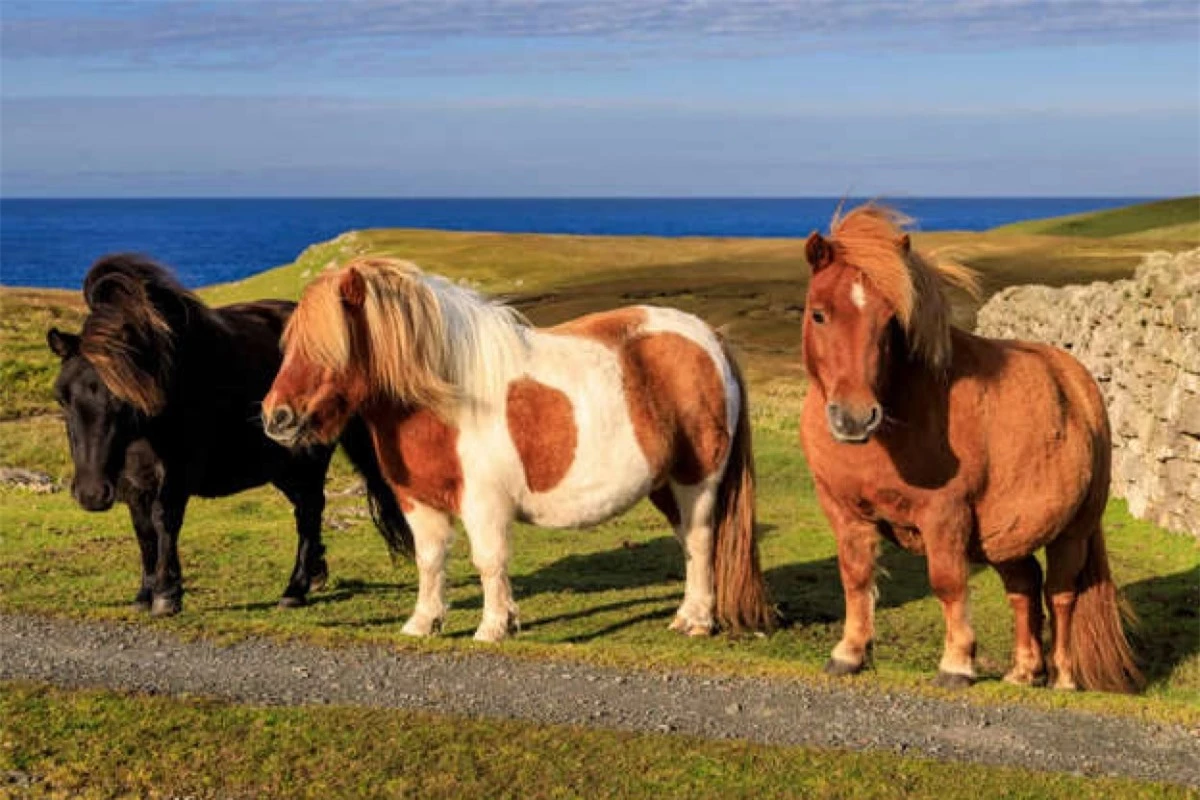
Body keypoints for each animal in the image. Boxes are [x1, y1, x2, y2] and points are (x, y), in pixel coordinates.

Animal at [48, 253, 412, 618]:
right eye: (61, 398)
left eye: (122, 401)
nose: (91, 494)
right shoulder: (131, 483)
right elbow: (143, 531)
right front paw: (143, 594)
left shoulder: (177, 474)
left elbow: (165, 522)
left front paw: (167, 595)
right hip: (281, 466)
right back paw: (315, 574)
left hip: (307, 456)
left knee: (309, 509)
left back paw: (294, 590)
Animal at [260, 260, 777, 642]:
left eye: (330, 347)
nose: (276, 418)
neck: (446, 400)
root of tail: (709, 338)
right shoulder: (419, 503)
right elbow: (430, 561)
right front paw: (423, 623)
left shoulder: (484, 504)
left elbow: (489, 561)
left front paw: (493, 627)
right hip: (665, 484)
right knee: (687, 543)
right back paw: (686, 615)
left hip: (698, 481)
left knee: (702, 540)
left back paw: (698, 622)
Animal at [801, 205, 1137, 695]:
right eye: (819, 314)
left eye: (890, 321)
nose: (855, 417)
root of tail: (1078, 382)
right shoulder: (845, 511)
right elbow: (855, 576)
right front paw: (849, 653)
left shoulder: (945, 515)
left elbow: (947, 583)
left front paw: (957, 664)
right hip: (1006, 533)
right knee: (1024, 586)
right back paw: (1023, 671)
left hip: (1072, 531)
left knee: (1060, 593)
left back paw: (1063, 677)